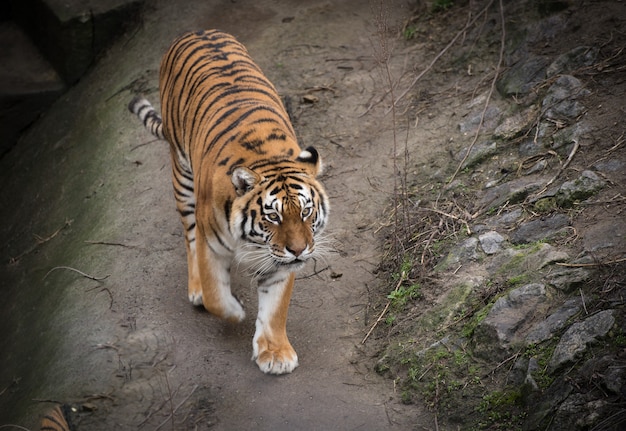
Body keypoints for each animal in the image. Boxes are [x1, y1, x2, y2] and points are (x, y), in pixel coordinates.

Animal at [129, 30, 330, 374]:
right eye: (273, 217)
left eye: (306, 211)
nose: (299, 250)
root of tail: (196, 32)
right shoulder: (211, 244)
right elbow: (215, 295)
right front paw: (235, 311)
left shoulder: (279, 264)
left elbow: (275, 308)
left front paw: (275, 353)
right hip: (182, 176)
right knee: (189, 238)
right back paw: (196, 288)